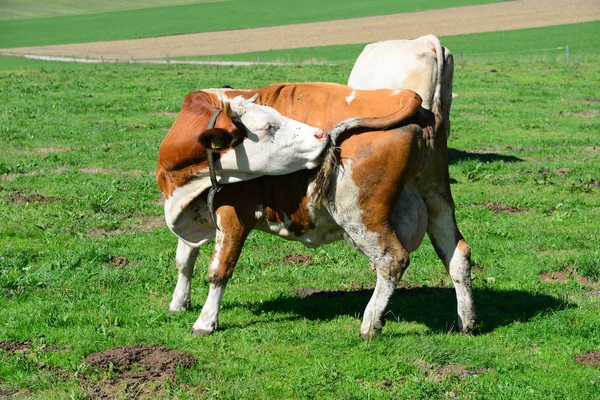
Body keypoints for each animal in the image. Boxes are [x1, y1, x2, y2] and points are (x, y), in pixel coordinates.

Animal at [157, 83, 476, 340]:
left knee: (392, 260)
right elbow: (184, 259)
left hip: (361, 215)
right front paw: (179, 303)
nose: (321, 134)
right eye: (267, 125)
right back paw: (467, 321)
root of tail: (406, 99)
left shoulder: (235, 213)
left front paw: (205, 322)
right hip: (436, 198)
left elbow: (219, 270)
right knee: (457, 254)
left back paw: (370, 323)